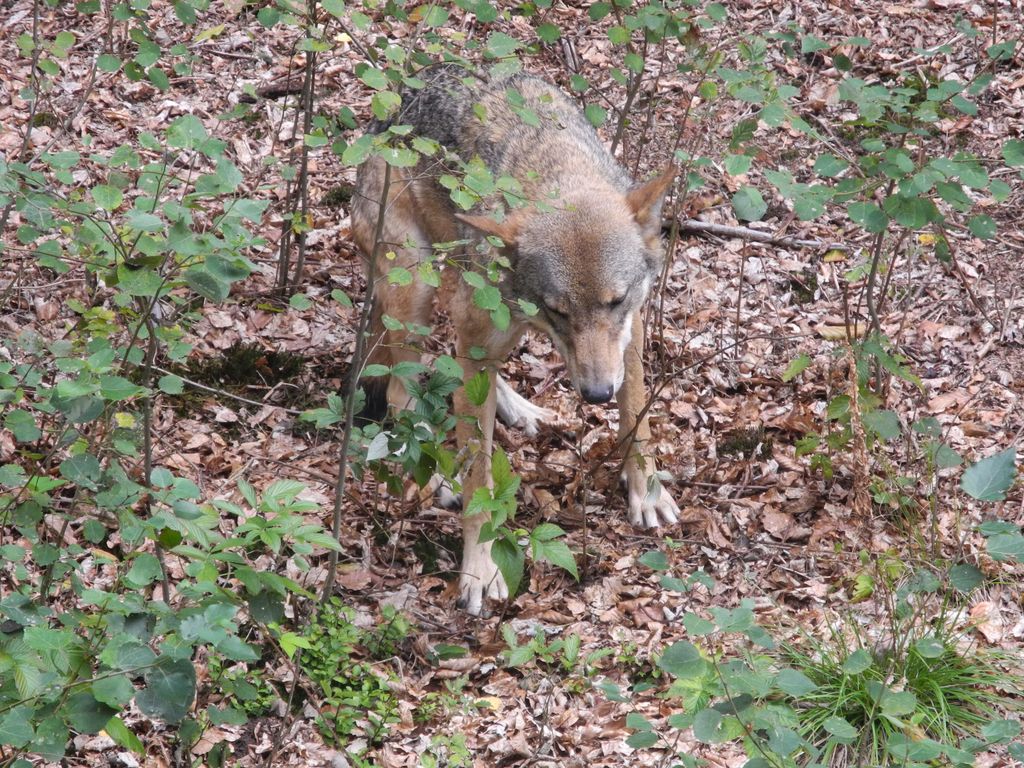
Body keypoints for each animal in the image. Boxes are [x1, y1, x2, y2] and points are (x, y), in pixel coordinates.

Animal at [352, 67, 679, 618]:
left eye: (614, 302)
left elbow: (637, 409)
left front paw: (646, 490)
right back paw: (437, 480)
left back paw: (518, 407)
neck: (555, 165)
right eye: (558, 310)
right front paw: (479, 570)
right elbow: (480, 478)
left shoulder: (629, 328)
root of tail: (381, 121)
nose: (596, 395)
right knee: (401, 391)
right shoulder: (485, 329)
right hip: (417, 284)